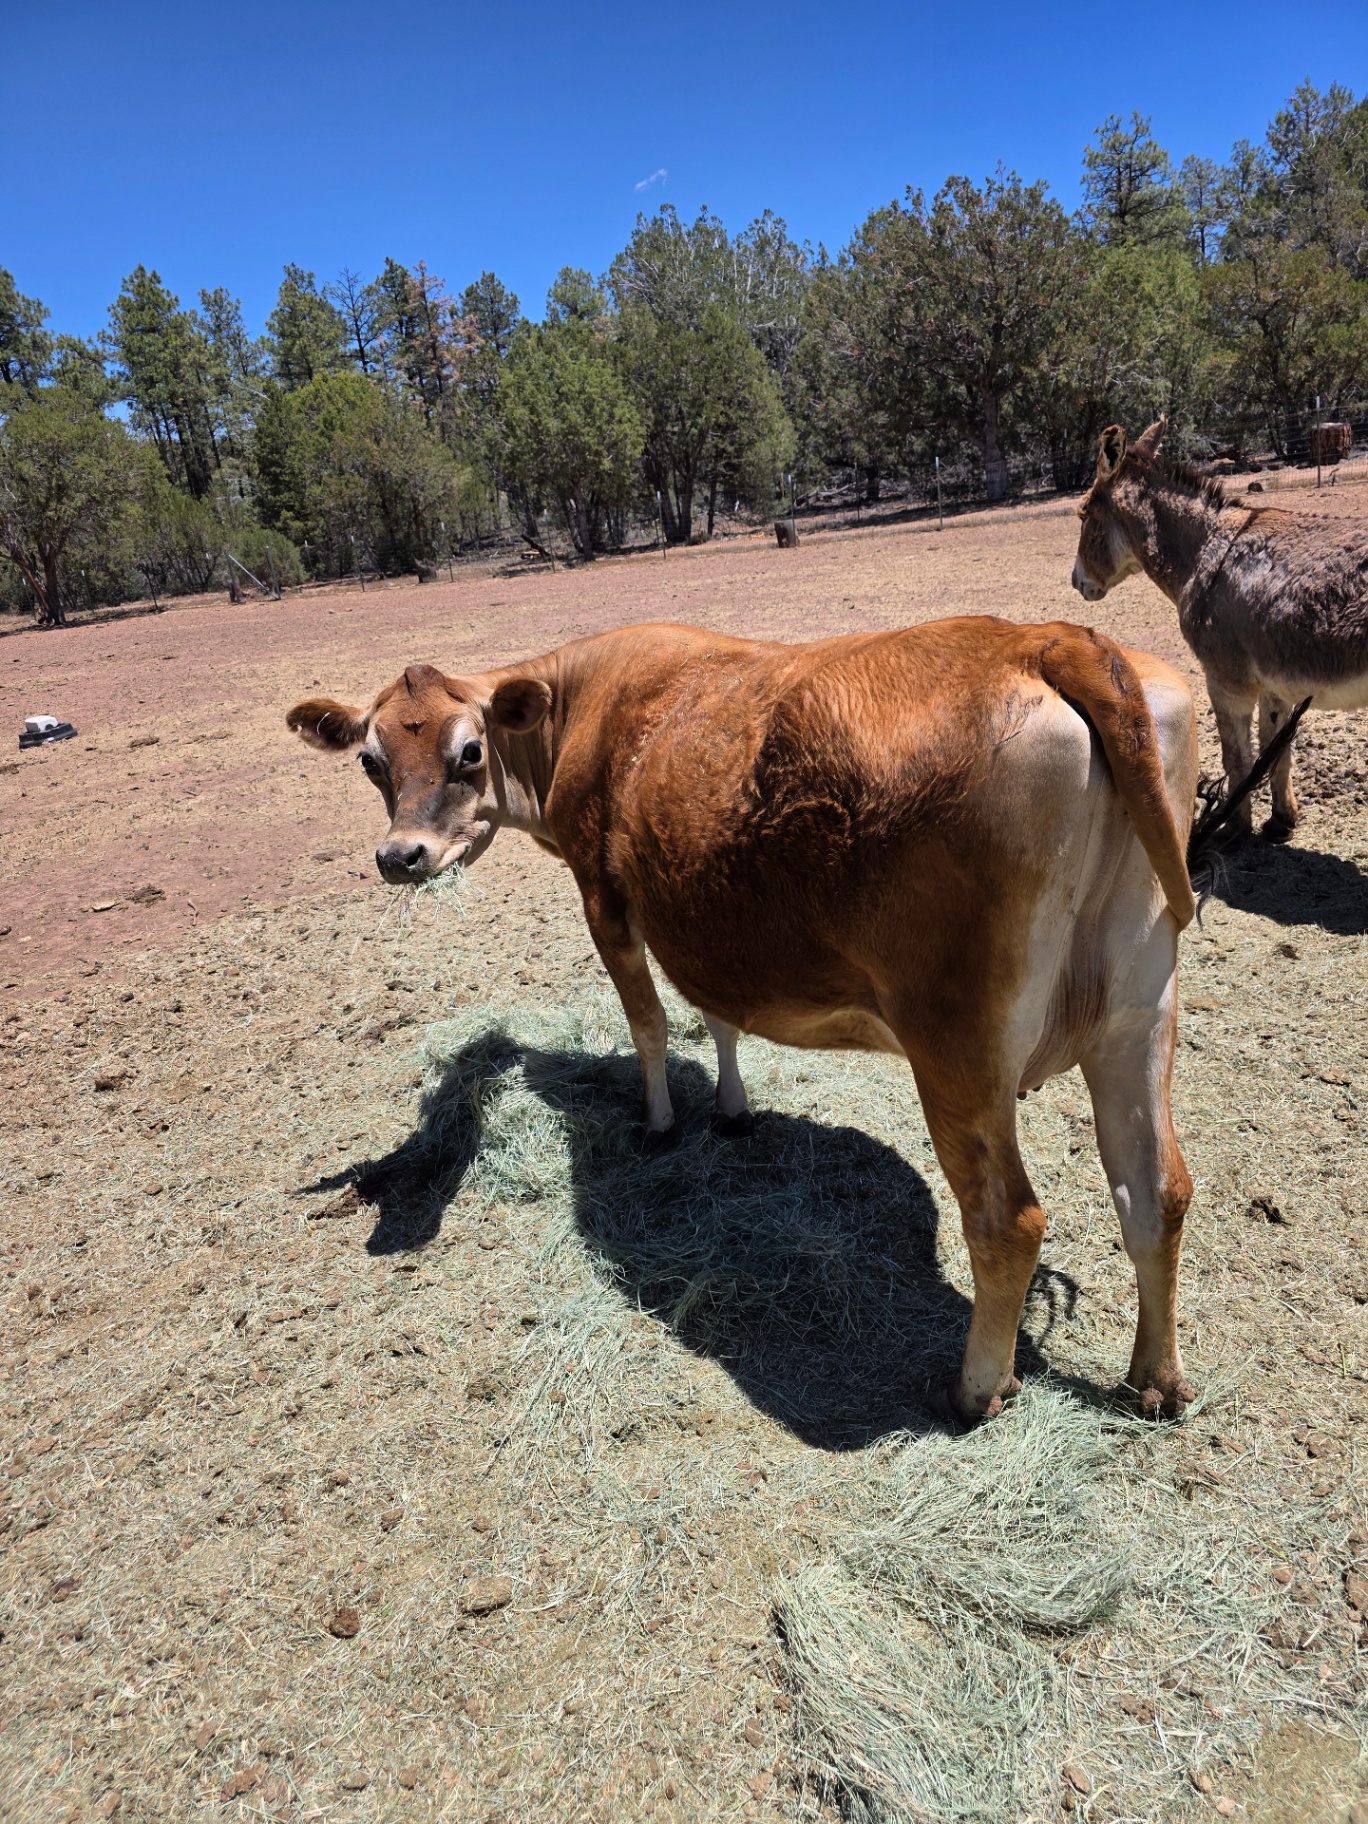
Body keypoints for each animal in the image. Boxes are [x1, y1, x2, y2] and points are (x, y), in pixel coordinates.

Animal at [288, 616, 1199, 1424]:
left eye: (467, 751)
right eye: (370, 760)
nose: (400, 856)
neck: (584, 702)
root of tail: (1048, 638)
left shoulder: (604, 895)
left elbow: (650, 1020)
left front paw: (660, 1123)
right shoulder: (705, 924)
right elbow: (718, 1016)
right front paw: (731, 1112)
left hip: (958, 1043)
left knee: (1007, 1221)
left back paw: (974, 1391)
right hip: (1138, 1016)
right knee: (1158, 1189)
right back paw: (1154, 1381)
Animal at [1072, 416, 1368, 840]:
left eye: (1083, 515)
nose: (1076, 582)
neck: (1204, 549)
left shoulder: (1225, 682)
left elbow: (1236, 757)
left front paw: (1234, 828)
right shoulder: (1274, 684)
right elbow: (1275, 751)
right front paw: (1281, 821)